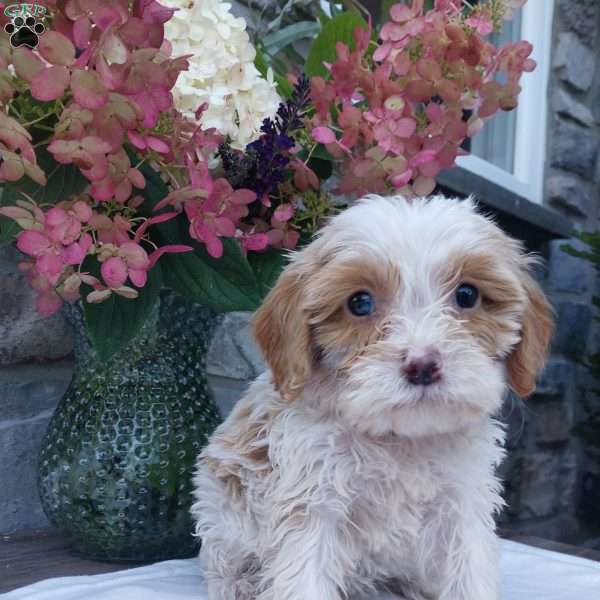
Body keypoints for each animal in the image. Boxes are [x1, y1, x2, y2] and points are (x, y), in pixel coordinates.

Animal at [192, 197, 552, 600]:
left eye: (467, 295)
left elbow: (469, 574)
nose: (422, 365)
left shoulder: (462, 504)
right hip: (220, 512)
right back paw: (240, 584)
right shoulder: (314, 504)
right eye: (360, 303)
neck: (399, 440)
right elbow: (305, 576)